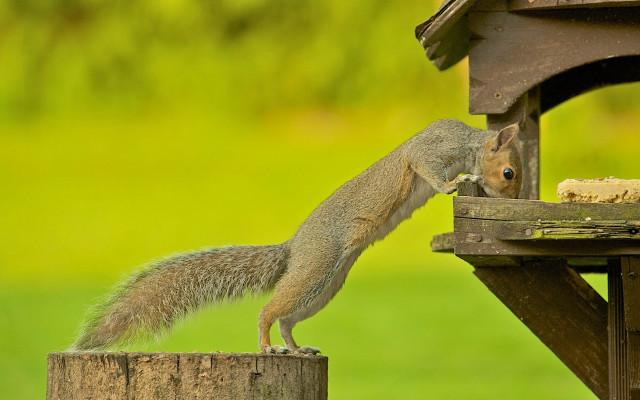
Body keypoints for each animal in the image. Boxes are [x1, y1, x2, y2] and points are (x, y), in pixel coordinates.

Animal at [71, 119, 522, 355]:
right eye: (509, 173)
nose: (515, 200)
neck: (467, 143)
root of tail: (294, 248)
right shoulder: (429, 149)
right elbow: (426, 166)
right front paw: (455, 184)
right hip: (318, 266)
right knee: (269, 310)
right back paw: (267, 345)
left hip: (325, 286)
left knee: (287, 318)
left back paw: (296, 348)